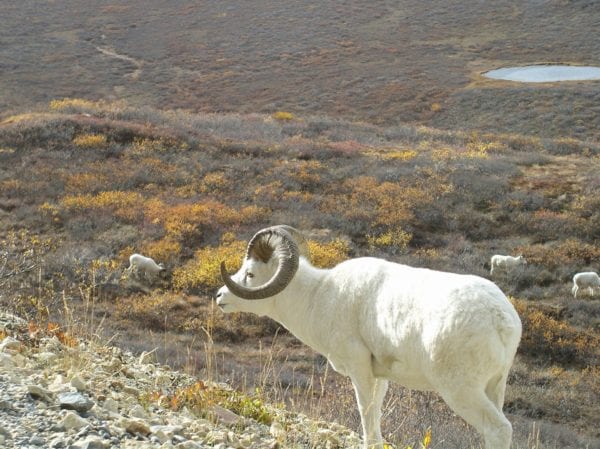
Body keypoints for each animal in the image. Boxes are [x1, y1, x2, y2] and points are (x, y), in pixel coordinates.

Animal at [218, 226, 524, 448]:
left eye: (250, 273)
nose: (220, 296)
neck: (318, 296)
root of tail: (500, 318)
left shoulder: (360, 370)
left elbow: (365, 412)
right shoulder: (380, 377)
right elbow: (375, 414)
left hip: (460, 390)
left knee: (498, 429)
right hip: (494, 387)